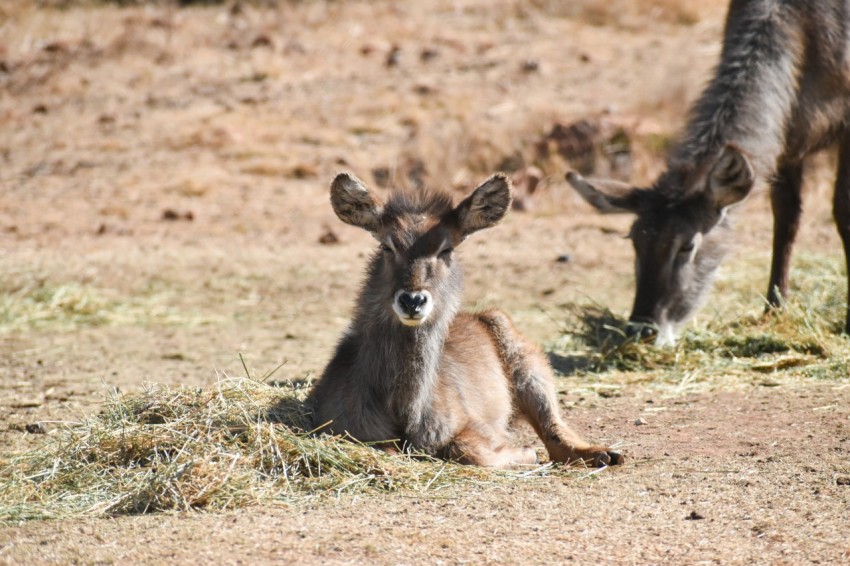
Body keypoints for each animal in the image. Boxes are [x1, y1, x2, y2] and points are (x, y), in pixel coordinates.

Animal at [308, 173, 623, 468]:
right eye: (387, 246)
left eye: (446, 249)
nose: (412, 300)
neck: (403, 409)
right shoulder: (342, 428)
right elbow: (387, 450)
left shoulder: (474, 424)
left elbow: (466, 449)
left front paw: (524, 452)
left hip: (527, 361)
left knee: (555, 433)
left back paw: (604, 453)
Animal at [566, 0, 850, 345]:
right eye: (634, 239)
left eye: (687, 245)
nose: (642, 330)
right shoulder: (787, 137)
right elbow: (786, 218)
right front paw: (774, 309)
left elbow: (843, 213)